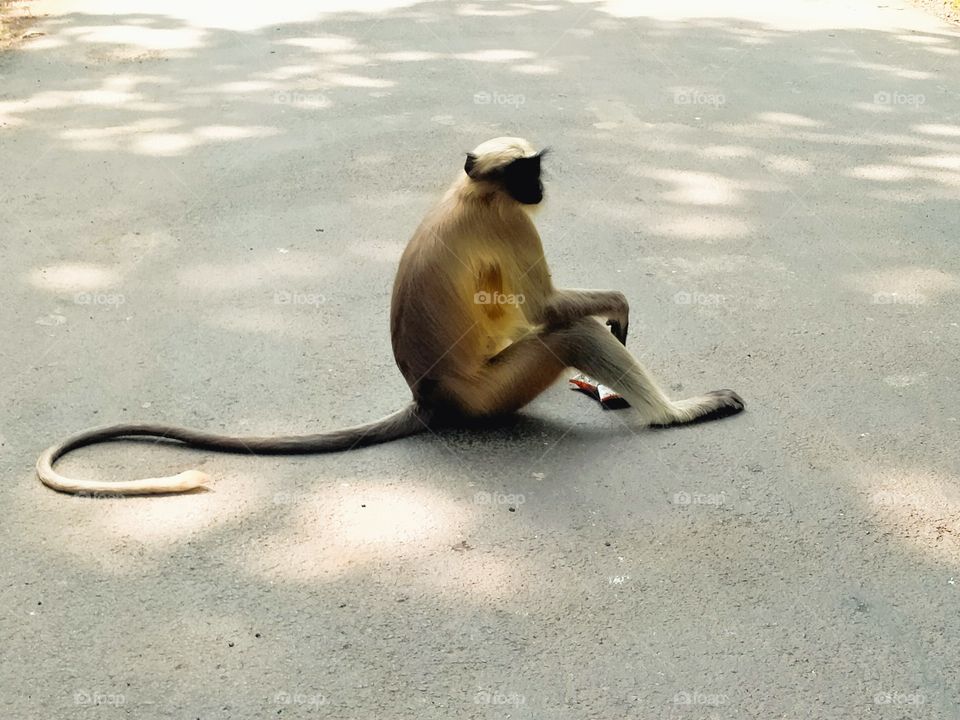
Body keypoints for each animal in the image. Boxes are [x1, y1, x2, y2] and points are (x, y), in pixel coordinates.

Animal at [36, 136, 743, 496]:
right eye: (524, 174)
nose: (540, 187)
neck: (470, 193)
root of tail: (427, 396)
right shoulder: (511, 223)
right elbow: (547, 310)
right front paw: (620, 306)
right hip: (493, 392)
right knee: (564, 331)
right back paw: (674, 413)